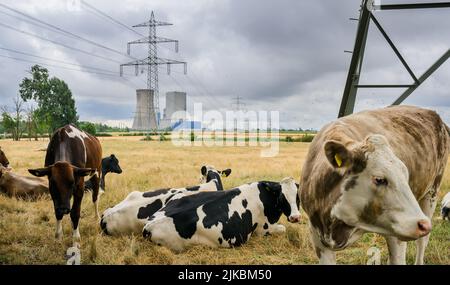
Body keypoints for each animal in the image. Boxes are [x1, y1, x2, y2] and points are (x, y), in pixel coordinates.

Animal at [142, 176, 300, 252]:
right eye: (282, 197)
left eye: (298, 197)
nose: (295, 217)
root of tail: (149, 226)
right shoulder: (264, 229)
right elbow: (283, 228)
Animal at [300, 105, 448, 266]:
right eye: (379, 179)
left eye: (405, 174)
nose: (423, 224)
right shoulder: (317, 237)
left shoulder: (396, 234)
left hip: (431, 194)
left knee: (422, 243)